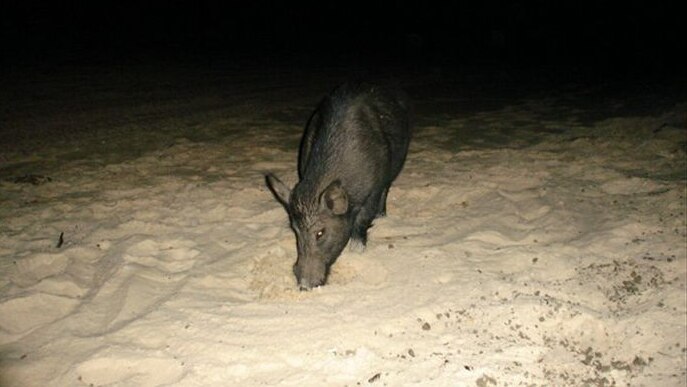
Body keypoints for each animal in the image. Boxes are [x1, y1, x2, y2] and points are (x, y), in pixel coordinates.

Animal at [266, 82, 412, 290]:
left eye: (320, 233)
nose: (304, 286)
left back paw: (382, 216)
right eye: (295, 230)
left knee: (388, 187)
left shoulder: (374, 188)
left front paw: (357, 250)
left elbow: (364, 217)